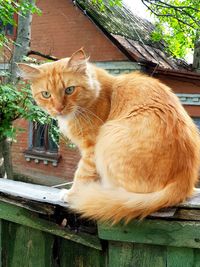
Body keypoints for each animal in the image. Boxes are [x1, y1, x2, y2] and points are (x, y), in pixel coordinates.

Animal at [18, 48, 200, 224]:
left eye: (69, 90)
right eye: (46, 94)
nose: (58, 109)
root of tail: (182, 182)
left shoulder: (91, 148)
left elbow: (82, 174)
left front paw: (72, 194)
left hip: (108, 138)